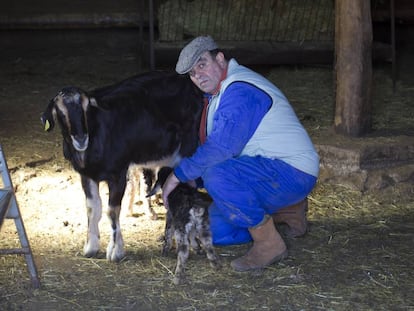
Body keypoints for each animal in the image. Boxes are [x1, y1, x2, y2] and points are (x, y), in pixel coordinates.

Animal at [41, 72, 203, 262]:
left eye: (86, 107)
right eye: (60, 111)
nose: (81, 138)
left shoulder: (118, 173)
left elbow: (112, 211)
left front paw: (115, 251)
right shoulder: (86, 175)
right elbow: (92, 209)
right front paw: (91, 246)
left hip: (188, 148)